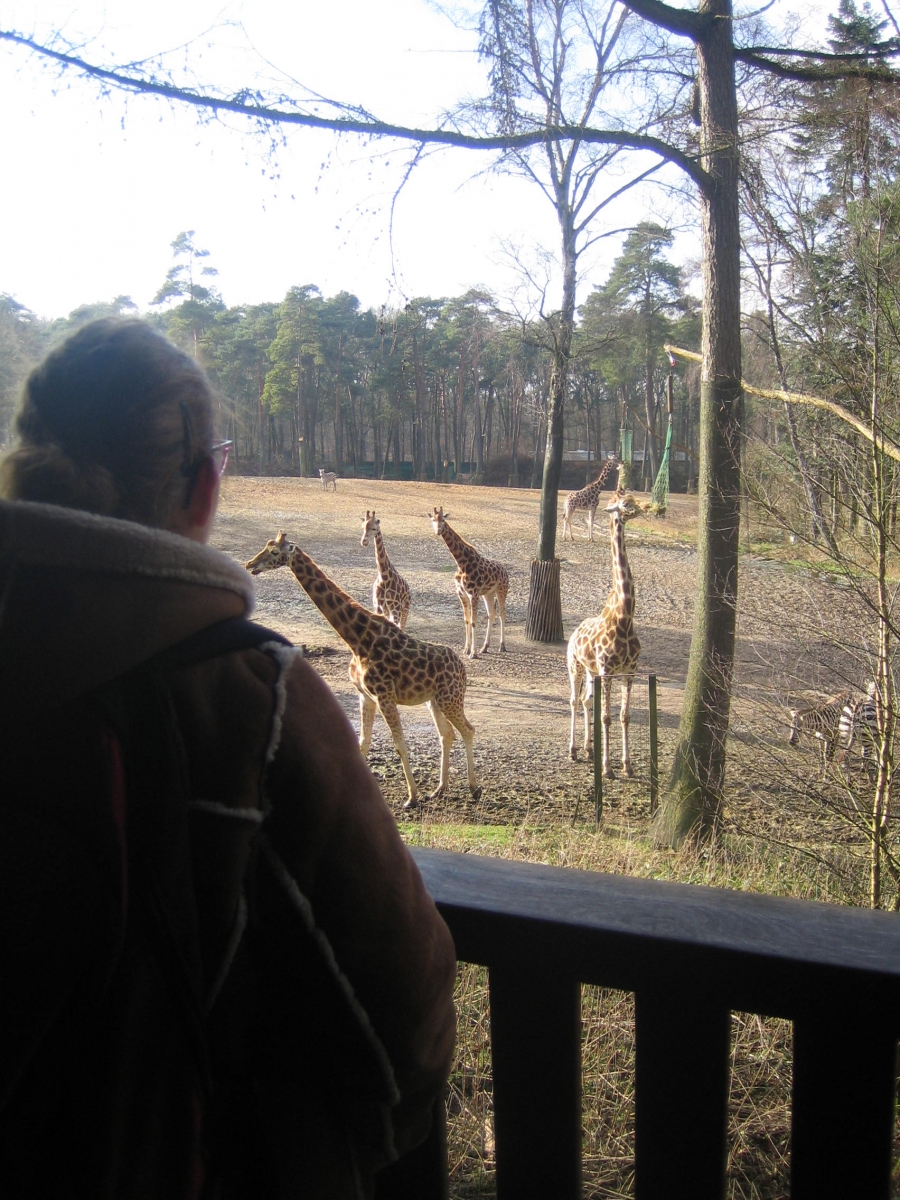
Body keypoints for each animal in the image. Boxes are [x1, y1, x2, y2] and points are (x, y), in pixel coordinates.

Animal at [247, 532, 480, 806]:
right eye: (265, 545)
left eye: (274, 552)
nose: (250, 564)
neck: (357, 640)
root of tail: (462, 668)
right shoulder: (365, 696)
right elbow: (362, 743)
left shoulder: (384, 696)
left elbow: (399, 743)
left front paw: (412, 797)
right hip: (434, 700)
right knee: (447, 734)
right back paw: (440, 788)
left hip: (450, 698)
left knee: (468, 730)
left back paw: (474, 788)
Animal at [434, 504, 511, 662]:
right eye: (433, 519)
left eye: (443, 520)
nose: (438, 531)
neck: (461, 564)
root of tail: (505, 570)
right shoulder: (462, 594)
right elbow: (467, 620)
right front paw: (467, 649)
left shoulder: (473, 594)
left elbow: (474, 621)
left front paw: (473, 653)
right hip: (488, 593)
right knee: (492, 614)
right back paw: (485, 647)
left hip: (501, 590)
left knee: (502, 613)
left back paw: (502, 646)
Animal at [564, 492, 648, 772]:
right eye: (624, 504)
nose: (645, 508)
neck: (624, 618)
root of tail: (574, 633)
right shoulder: (609, 669)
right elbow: (607, 717)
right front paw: (608, 767)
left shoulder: (630, 670)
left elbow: (624, 716)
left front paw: (627, 765)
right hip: (576, 666)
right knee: (574, 700)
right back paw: (573, 750)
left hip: (592, 671)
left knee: (587, 700)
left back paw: (588, 748)